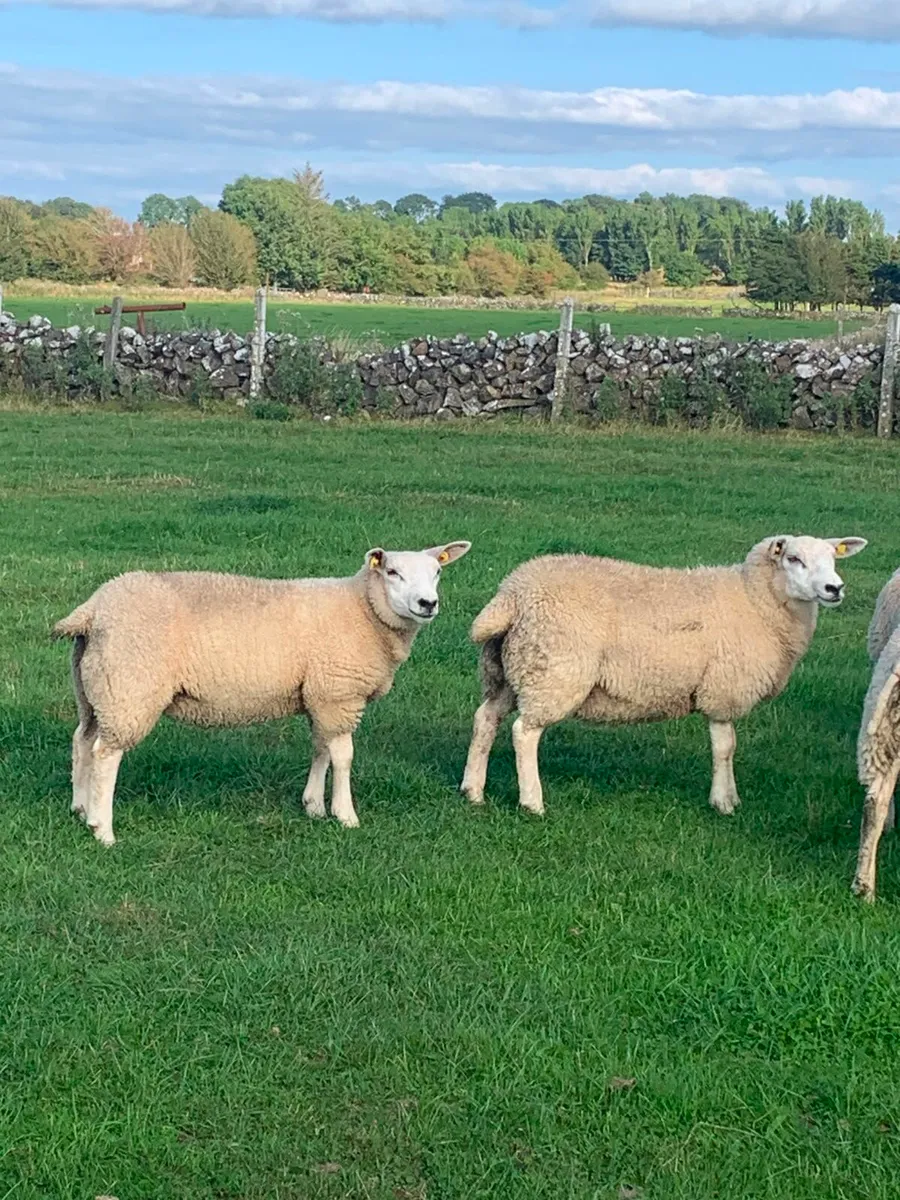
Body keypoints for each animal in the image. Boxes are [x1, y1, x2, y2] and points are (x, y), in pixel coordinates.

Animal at [53, 541, 471, 845]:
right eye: (392, 572)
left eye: (437, 572)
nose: (428, 604)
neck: (362, 609)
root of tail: (94, 608)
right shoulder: (338, 694)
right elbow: (343, 756)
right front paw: (346, 815)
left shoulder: (318, 695)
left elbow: (320, 748)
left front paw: (313, 806)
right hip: (129, 688)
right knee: (106, 755)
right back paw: (103, 830)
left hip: (95, 688)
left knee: (82, 741)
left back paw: (80, 809)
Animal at [460, 535, 866, 817]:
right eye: (794, 559)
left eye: (833, 558)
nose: (835, 588)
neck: (755, 600)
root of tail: (513, 593)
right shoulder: (722, 690)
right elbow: (725, 747)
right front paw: (723, 803)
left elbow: (729, 748)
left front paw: (732, 798)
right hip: (554, 672)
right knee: (524, 732)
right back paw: (532, 802)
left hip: (510, 668)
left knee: (486, 719)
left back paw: (472, 791)